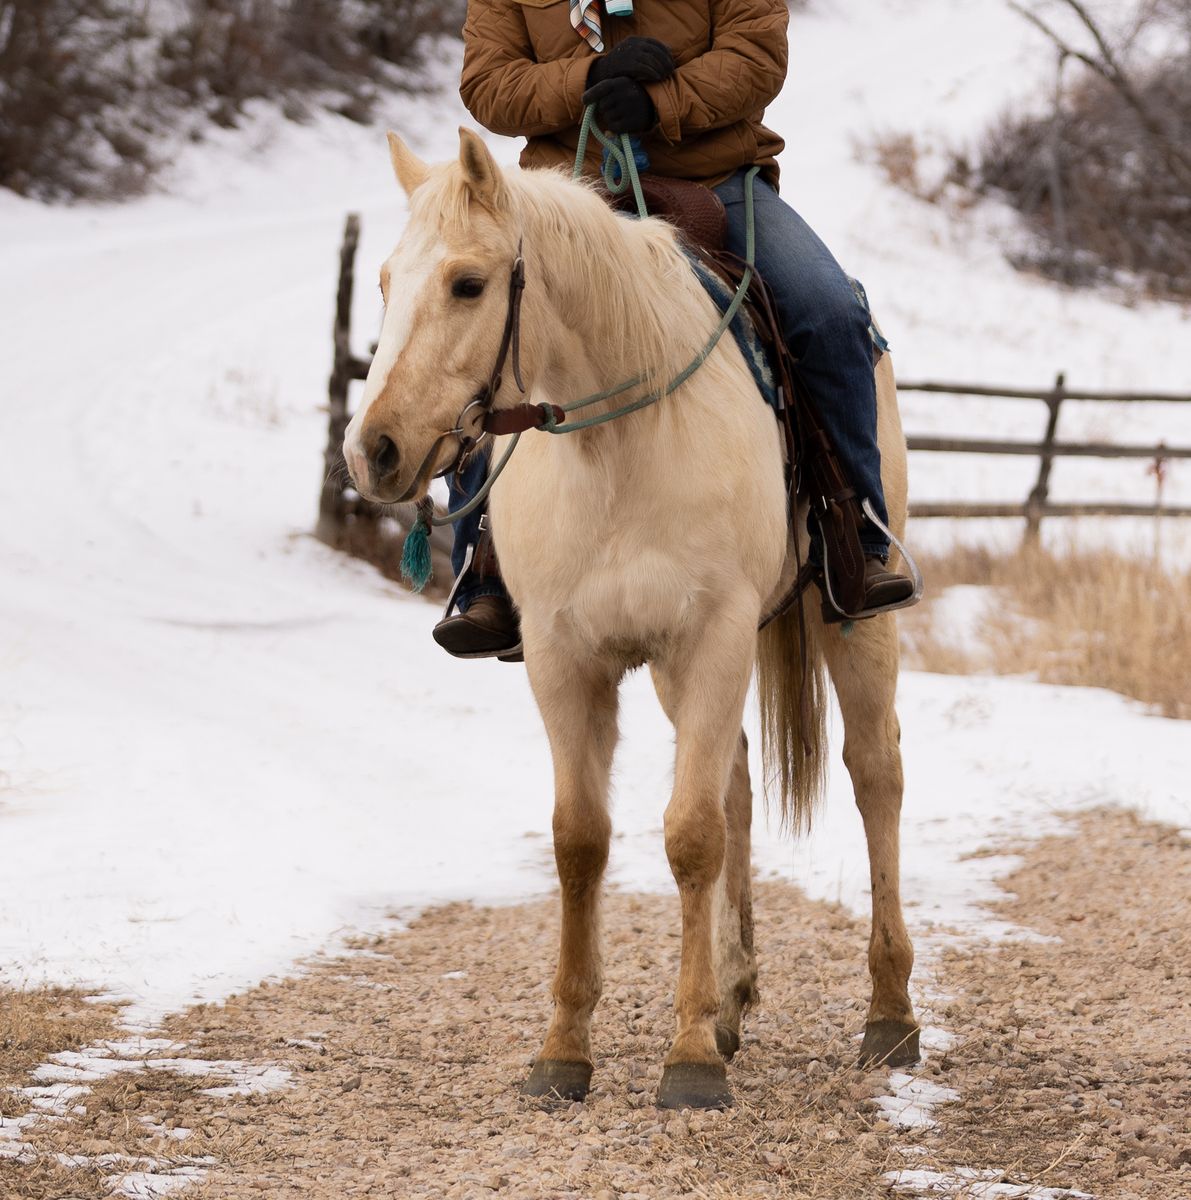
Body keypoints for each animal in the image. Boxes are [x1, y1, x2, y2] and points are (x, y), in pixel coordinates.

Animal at [342, 127, 919, 1111]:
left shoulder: (713, 636)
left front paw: (685, 1060)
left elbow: (688, 835)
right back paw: (731, 1001)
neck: (618, 444)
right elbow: (582, 840)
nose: (372, 449)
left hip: (848, 624)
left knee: (873, 775)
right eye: (383, 281)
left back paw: (888, 1016)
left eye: (468, 283)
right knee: (735, 785)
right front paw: (564, 1051)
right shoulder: (565, 656)